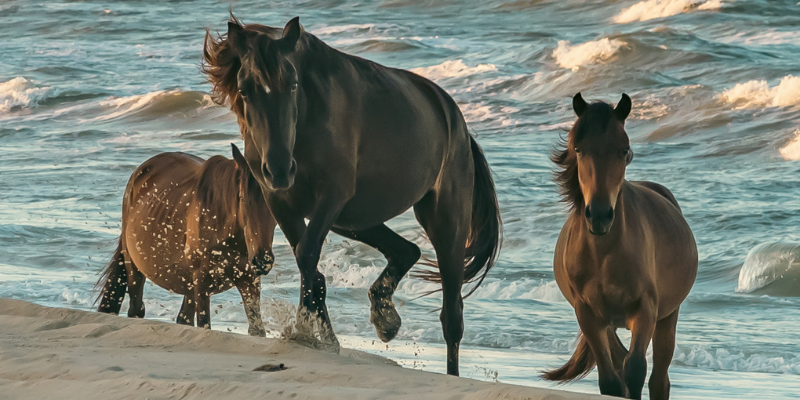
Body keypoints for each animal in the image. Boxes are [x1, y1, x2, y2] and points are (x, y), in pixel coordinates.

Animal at [96, 144, 277, 337]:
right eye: (242, 198)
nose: (262, 260)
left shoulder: (249, 280)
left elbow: (256, 329)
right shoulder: (202, 282)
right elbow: (204, 324)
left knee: (184, 318)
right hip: (134, 268)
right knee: (136, 308)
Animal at [202, 15, 502, 376]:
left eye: (293, 84)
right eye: (245, 90)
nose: (279, 169)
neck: (305, 124)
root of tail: (457, 122)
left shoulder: (332, 195)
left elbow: (307, 255)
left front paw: (305, 331)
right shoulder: (283, 204)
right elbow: (310, 264)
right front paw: (325, 339)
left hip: (445, 220)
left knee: (452, 316)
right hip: (352, 219)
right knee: (407, 250)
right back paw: (385, 317)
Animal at [542, 93, 698, 400]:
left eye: (623, 150)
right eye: (578, 149)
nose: (600, 215)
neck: (603, 256)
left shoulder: (645, 311)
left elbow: (635, 370)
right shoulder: (589, 316)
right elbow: (612, 381)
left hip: (667, 318)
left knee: (658, 379)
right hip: (609, 326)